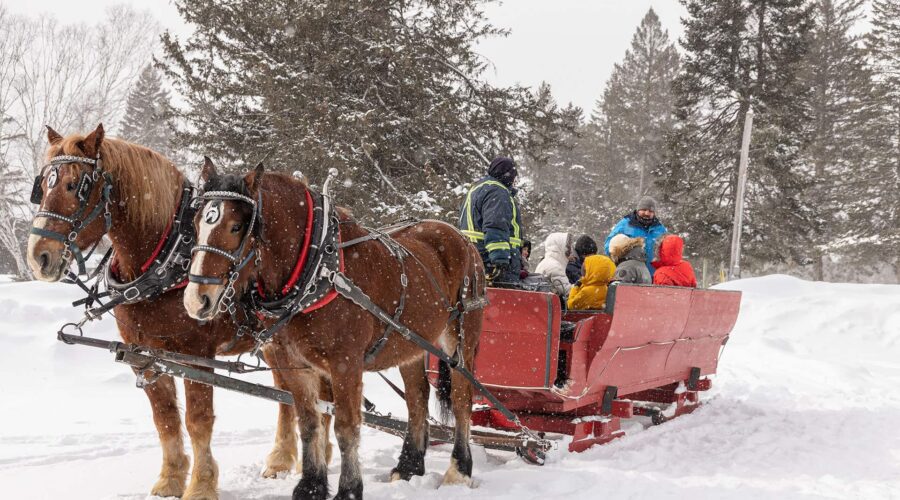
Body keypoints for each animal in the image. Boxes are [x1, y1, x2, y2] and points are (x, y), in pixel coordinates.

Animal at [25, 124, 329, 500]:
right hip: (276, 344)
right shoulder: (144, 353)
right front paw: (170, 479)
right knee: (290, 394)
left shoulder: (195, 353)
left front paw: (201, 485)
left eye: (75, 185)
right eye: (43, 186)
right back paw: (282, 459)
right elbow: (165, 418)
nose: (38, 256)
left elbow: (197, 420)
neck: (168, 259)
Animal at [183, 161, 485, 500]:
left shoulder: (345, 364)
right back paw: (409, 466)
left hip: (461, 339)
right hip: (412, 343)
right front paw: (310, 486)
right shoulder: (296, 364)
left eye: (236, 227)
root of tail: (462, 238)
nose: (196, 300)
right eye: (195, 223)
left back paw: (459, 469)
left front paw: (349, 489)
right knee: (417, 398)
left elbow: (345, 426)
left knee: (461, 398)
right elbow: (309, 423)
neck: (317, 269)